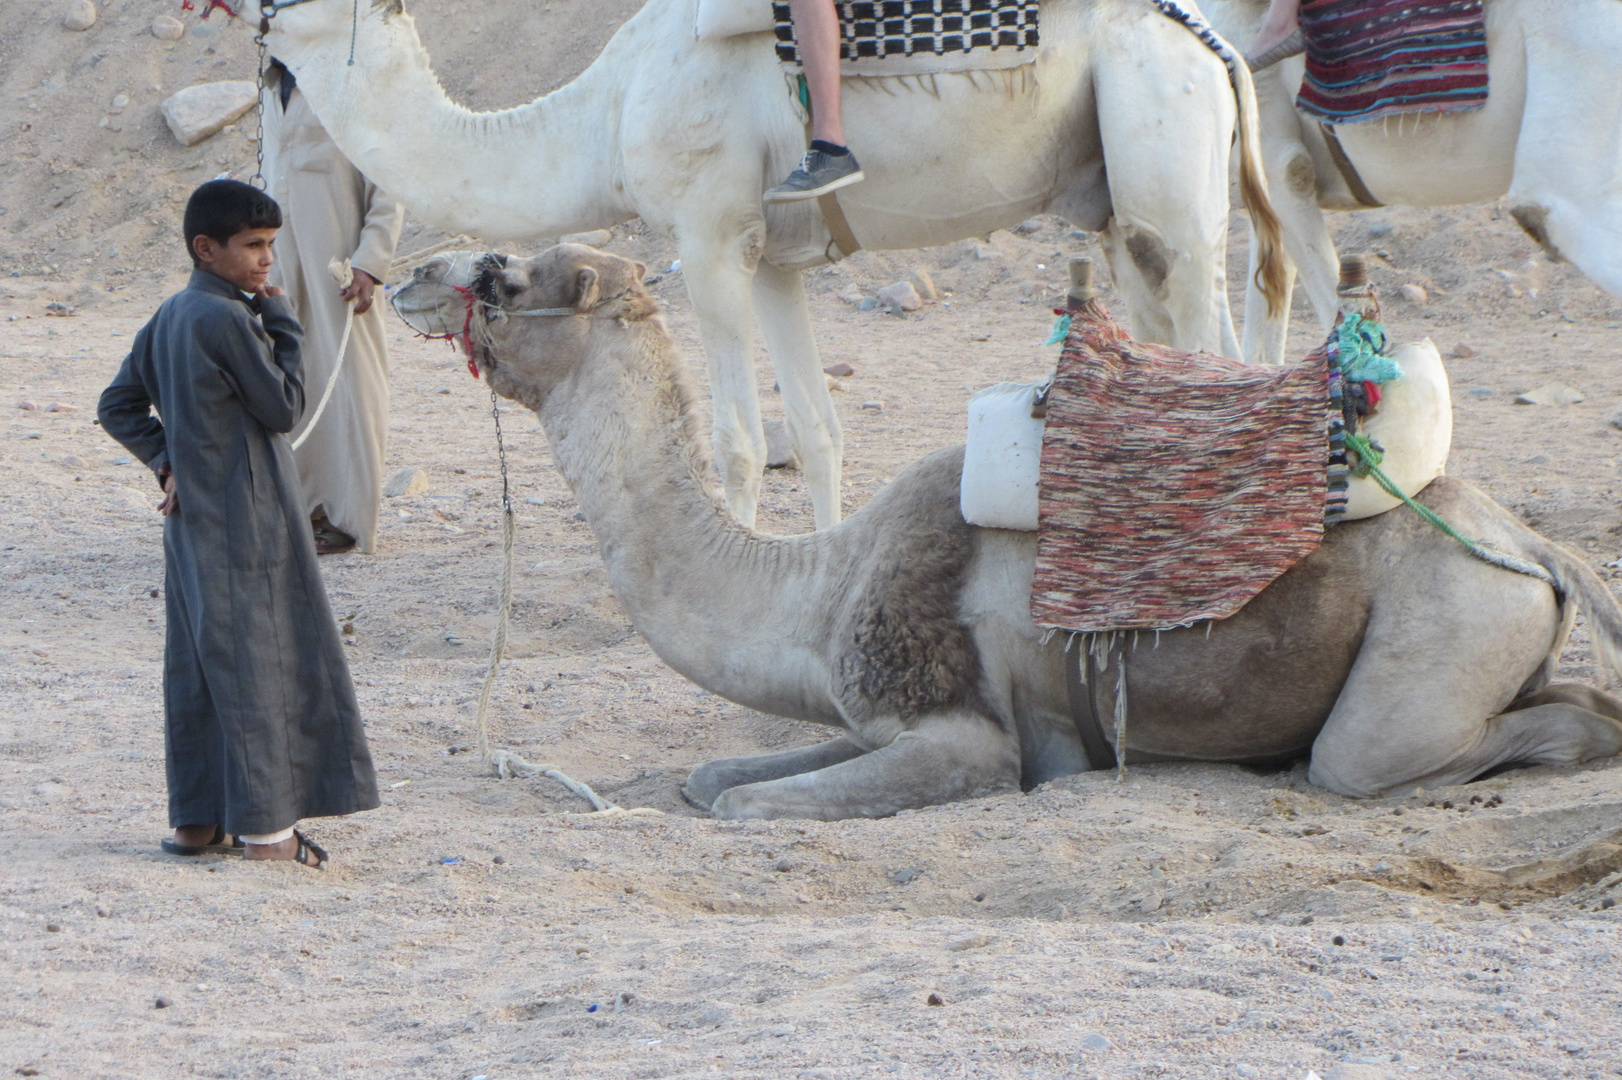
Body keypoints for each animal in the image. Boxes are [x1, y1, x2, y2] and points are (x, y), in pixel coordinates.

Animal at [262, 0, 1278, 525]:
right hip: (1114, 191)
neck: (607, 112)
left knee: (1212, 351)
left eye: (495, 277)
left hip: (1160, 136)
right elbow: (819, 433)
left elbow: (739, 442)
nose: (410, 282)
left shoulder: (706, 233)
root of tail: (1209, 44)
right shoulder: (772, 260)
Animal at [411, 243, 1622, 817]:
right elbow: (712, 779)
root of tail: (1535, 548)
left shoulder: (963, 732)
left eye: (507, 273)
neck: (817, 586)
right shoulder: (872, 713)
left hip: (1437, 637)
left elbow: (748, 804)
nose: (416, 273)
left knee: (1403, 753)